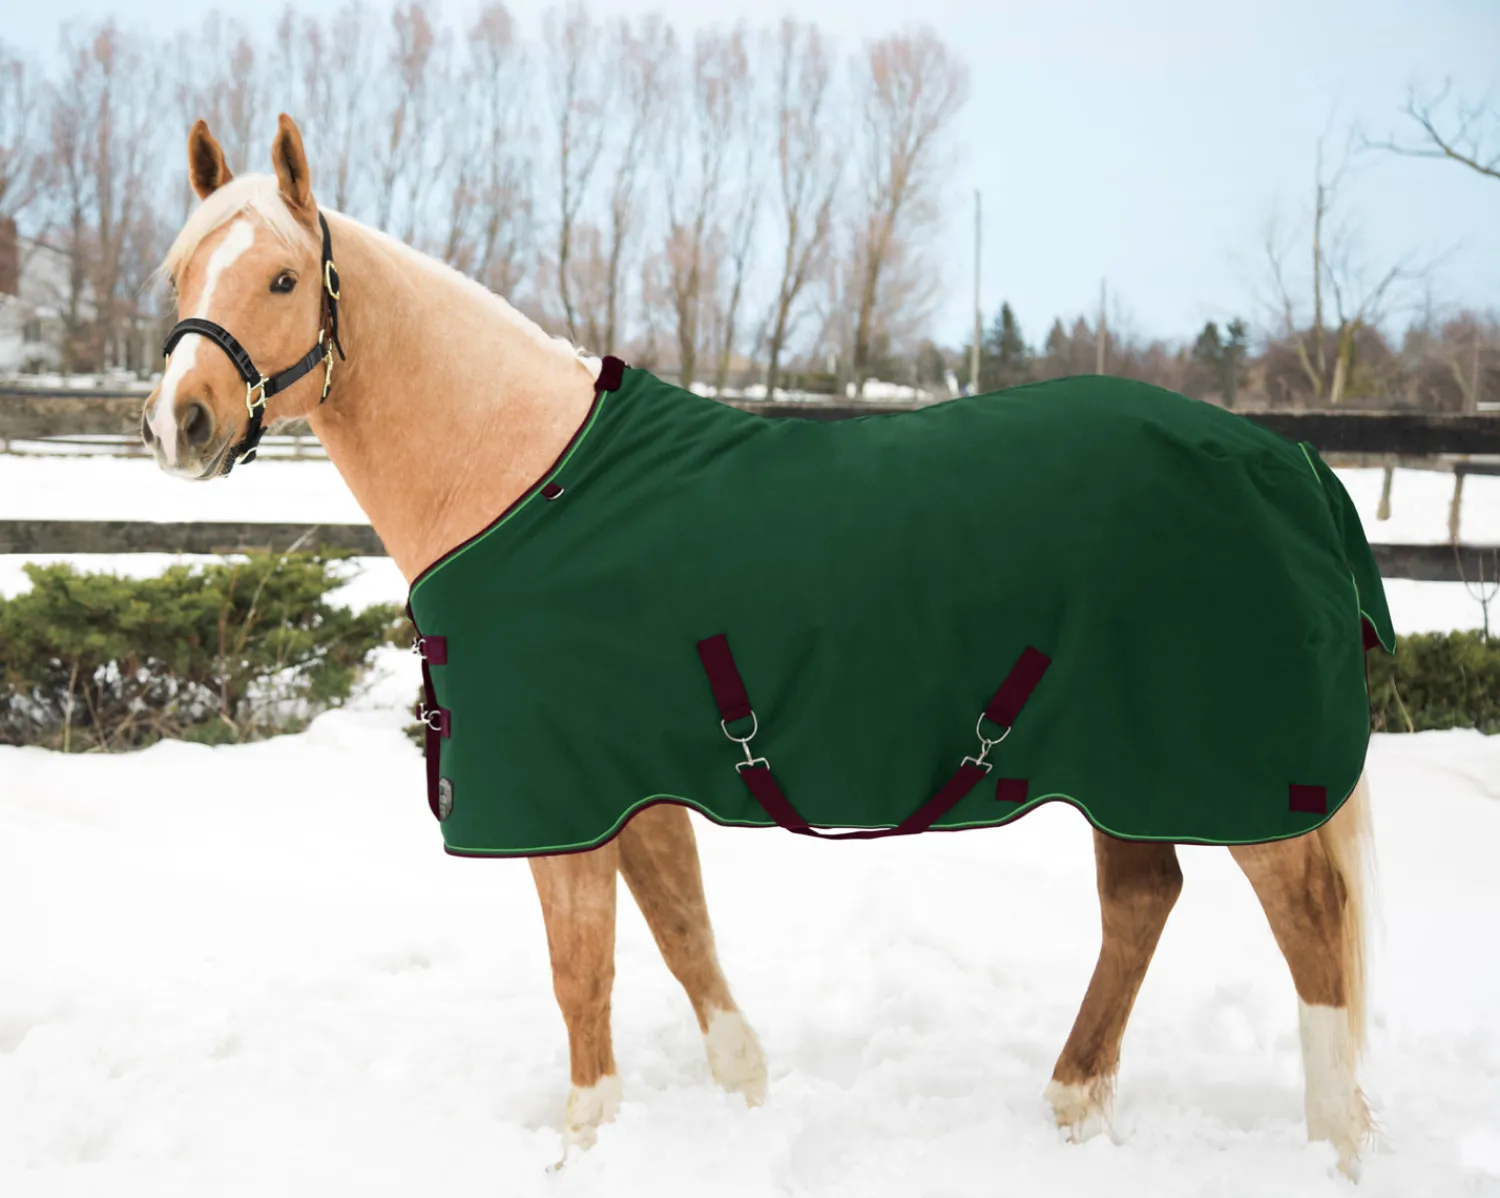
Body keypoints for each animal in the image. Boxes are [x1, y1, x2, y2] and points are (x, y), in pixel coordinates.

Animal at [142, 114, 1375, 1177]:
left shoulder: (561, 796)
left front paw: (584, 1145)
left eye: (284, 278)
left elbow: (582, 971)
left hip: (1229, 773)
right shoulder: (626, 779)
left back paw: (1335, 1146)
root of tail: (1286, 460)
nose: (179, 423)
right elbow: (682, 931)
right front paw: (743, 1095)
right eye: (177, 274)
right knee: (1144, 899)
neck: (523, 479)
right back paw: (1073, 1105)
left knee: (1310, 924)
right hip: (1125, 766)